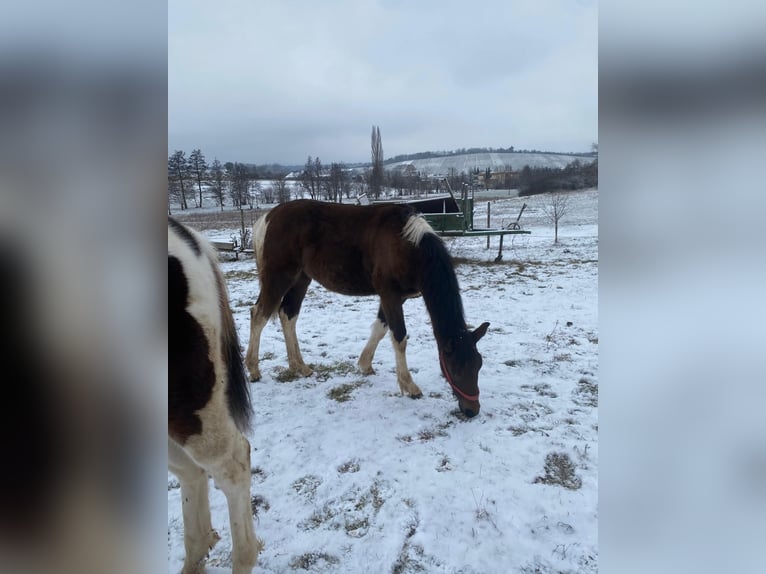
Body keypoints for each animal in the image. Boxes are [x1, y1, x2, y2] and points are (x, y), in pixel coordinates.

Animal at [244, 200, 490, 418]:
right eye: (455, 368)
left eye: (479, 365)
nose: (472, 411)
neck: (408, 246)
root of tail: (268, 217)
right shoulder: (390, 295)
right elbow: (399, 337)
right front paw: (409, 386)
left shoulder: (396, 298)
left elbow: (380, 329)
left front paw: (365, 365)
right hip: (279, 277)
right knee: (258, 315)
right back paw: (253, 369)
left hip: (301, 279)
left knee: (288, 315)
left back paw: (299, 366)